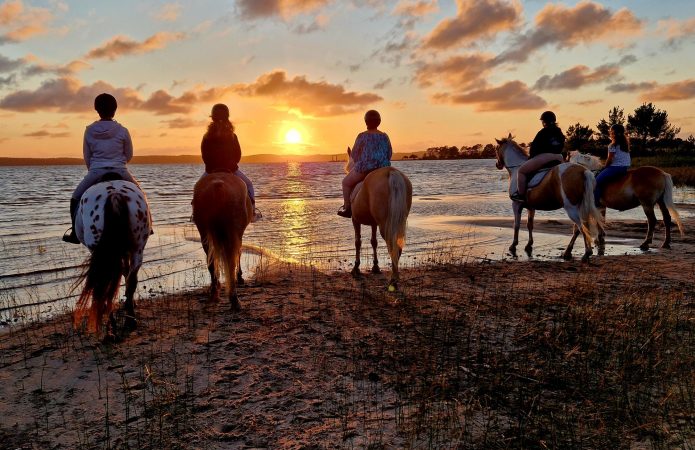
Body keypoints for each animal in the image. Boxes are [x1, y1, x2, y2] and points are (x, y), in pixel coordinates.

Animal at [72, 179, 151, 334]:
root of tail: (114, 194)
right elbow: (126, 273)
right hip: (137, 249)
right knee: (131, 281)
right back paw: (130, 321)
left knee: (104, 285)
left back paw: (110, 328)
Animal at [193, 171, 253, 312]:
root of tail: (217, 186)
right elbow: (239, 253)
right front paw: (240, 277)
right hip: (233, 231)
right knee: (231, 260)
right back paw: (234, 300)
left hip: (204, 231)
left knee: (211, 261)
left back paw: (215, 293)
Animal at [344, 146, 410, 290]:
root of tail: (391, 173)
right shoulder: (374, 223)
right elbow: (374, 242)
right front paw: (375, 266)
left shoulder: (355, 220)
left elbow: (358, 242)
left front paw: (356, 268)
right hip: (397, 221)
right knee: (398, 246)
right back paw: (394, 279)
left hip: (384, 224)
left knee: (393, 245)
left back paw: (393, 280)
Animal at [494, 134, 604, 262]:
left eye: (496, 149)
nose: (498, 165)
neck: (517, 169)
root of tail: (583, 171)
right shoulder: (531, 207)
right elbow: (530, 225)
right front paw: (529, 244)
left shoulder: (516, 205)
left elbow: (516, 225)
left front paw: (513, 245)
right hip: (581, 206)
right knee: (579, 228)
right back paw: (568, 252)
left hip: (571, 208)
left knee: (582, 227)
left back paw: (586, 253)